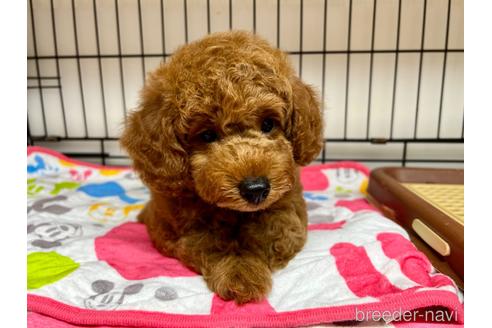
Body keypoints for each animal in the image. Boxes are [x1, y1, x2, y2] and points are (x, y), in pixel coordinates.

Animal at [120, 31, 322, 304]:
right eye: (207, 135)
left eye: (268, 124)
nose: (255, 189)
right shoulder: (181, 228)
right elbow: (213, 244)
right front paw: (240, 274)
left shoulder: (288, 212)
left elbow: (271, 233)